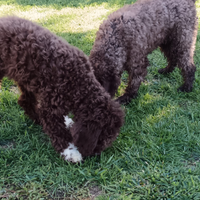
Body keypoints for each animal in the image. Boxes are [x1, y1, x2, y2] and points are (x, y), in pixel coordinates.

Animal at [0, 15, 125, 162]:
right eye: (101, 139)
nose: (95, 154)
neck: (79, 85)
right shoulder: (50, 106)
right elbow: (58, 131)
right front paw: (70, 151)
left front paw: (66, 122)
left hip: (26, 78)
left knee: (24, 101)